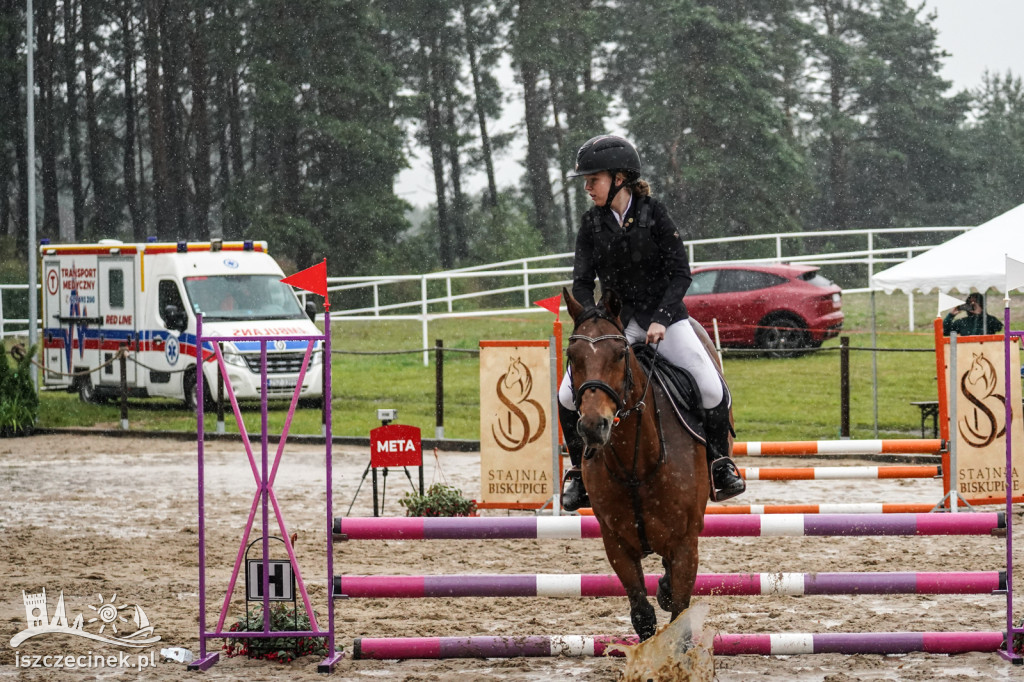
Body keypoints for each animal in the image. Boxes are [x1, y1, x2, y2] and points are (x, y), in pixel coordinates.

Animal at [561, 284, 720, 638]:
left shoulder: (685, 543)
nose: (593, 426)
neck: (636, 464)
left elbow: (678, 620)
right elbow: (643, 616)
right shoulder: (616, 543)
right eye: (571, 357)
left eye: (620, 355)